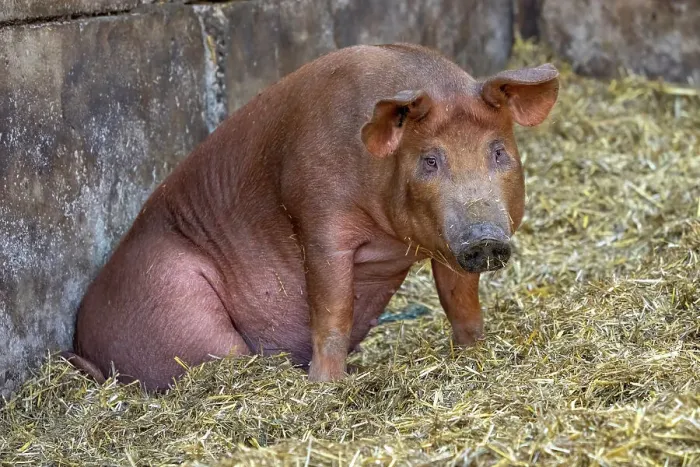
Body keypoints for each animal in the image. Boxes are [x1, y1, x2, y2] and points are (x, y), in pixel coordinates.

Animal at [64, 43, 559, 390]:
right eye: (430, 161)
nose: (484, 237)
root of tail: (81, 339)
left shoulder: (446, 244)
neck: (391, 237)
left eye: (498, 151)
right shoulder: (318, 218)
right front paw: (328, 385)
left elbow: (461, 302)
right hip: (177, 305)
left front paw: (476, 352)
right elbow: (332, 309)